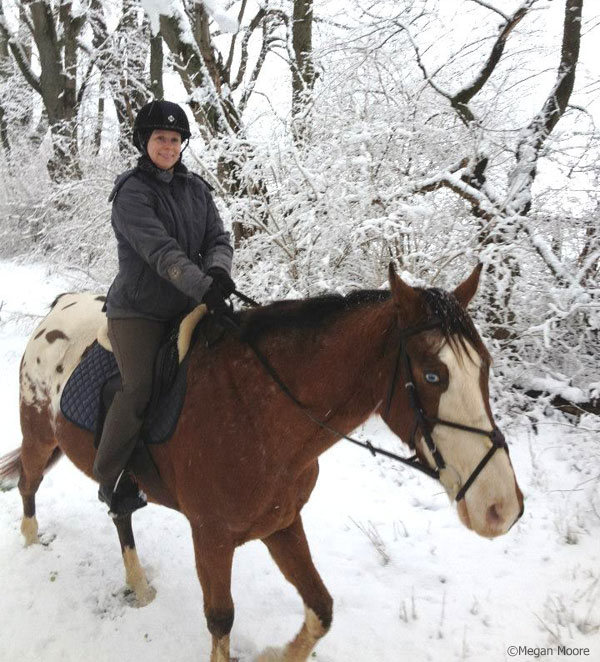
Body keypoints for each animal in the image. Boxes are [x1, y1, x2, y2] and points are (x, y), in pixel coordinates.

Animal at [1, 264, 520, 662]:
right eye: (433, 375)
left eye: (486, 367)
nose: (502, 508)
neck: (257, 411)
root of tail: (58, 309)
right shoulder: (210, 536)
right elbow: (221, 619)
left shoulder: (282, 523)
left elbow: (321, 609)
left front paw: (275, 654)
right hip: (39, 437)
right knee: (28, 483)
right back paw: (31, 540)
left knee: (118, 510)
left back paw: (140, 584)